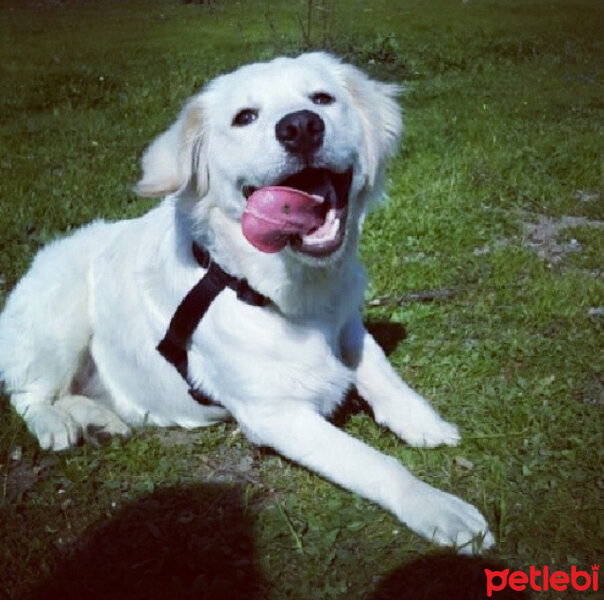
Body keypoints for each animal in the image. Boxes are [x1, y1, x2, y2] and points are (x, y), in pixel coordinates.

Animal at [0, 54, 496, 552]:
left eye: (322, 98)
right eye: (244, 117)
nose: (301, 127)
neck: (283, 292)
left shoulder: (347, 324)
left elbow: (381, 373)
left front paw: (424, 421)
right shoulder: (275, 414)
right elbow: (372, 461)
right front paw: (437, 506)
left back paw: (100, 422)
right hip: (59, 313)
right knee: (30, 393)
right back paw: (56, 425)